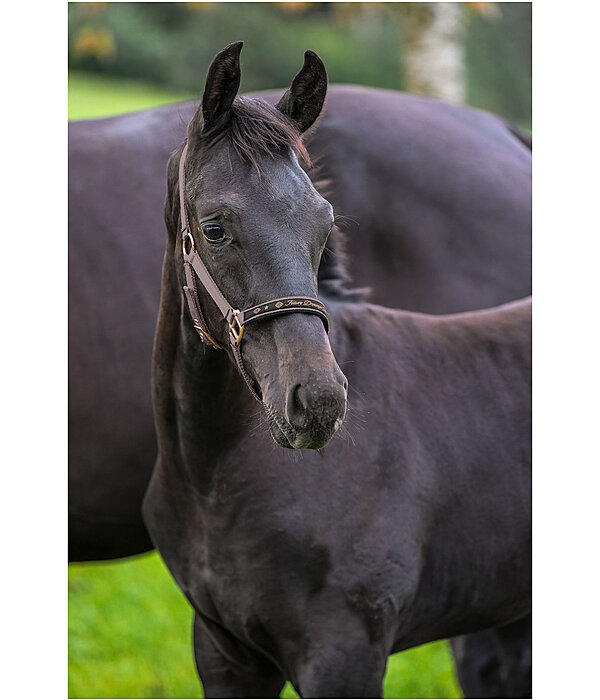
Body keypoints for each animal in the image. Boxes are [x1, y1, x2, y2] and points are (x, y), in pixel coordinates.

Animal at [143, 42, 532, 700]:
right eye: (215, 229)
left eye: (325, 225)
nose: (318, 402)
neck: (213, 475)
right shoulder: (224, 653)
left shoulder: (343, 655)